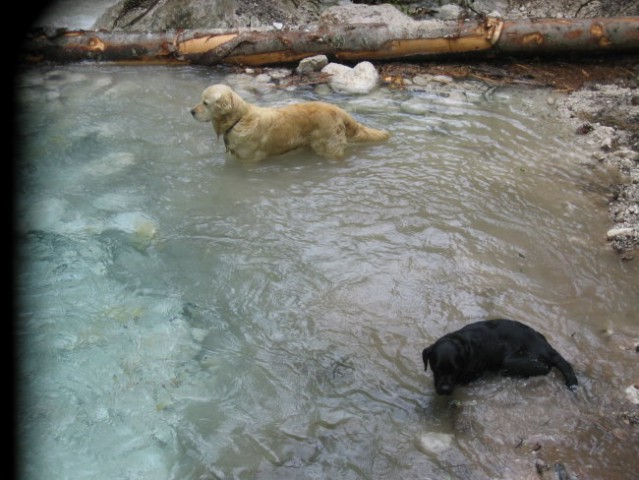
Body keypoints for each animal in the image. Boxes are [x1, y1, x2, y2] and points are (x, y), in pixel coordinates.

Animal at [424, 318, 580, 394]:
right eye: (436, 369)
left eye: (455, 369)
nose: (444, 390)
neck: (464, 344)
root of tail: (549, 349)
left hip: (512, 361)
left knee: (544, 368)